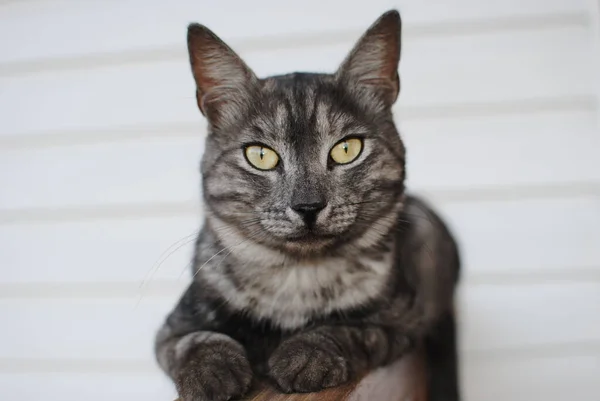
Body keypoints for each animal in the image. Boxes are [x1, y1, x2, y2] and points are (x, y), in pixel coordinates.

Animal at [154, 9, 460, 400]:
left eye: (347, 149)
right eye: (260, 155)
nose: (308, 205)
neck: (296, 282)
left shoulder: (399, 321)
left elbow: (347, 329)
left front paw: (306, 356)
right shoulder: (174, 326)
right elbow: (196, 341)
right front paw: (212, 373)